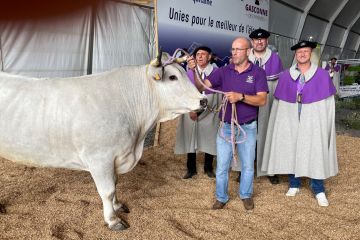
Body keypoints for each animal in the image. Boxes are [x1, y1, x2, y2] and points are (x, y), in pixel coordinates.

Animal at [0, 52, 207, 231]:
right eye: (172, 77)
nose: (203, 100)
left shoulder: (115, 157)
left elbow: (115, 184)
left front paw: (117, 206)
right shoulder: (100, 158)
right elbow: (107, 190)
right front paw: (113, 220)